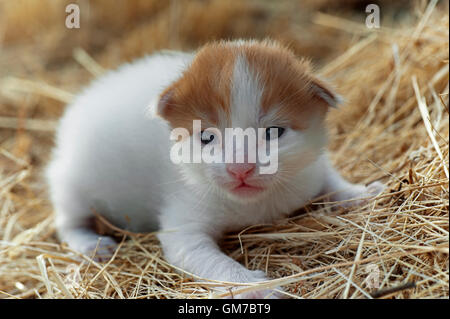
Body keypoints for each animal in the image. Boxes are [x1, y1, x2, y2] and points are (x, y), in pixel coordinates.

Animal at [46, 40, 384, 300]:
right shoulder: (184, 226)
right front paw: (254, 287)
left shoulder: (309, 170)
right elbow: (206, 257)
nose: (240, 168)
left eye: (274, 132)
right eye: (207, 137)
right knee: (67, 221)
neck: (252, 204)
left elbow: (329, 177)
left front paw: (361, 193)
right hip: (73, 180)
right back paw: (91, 243)